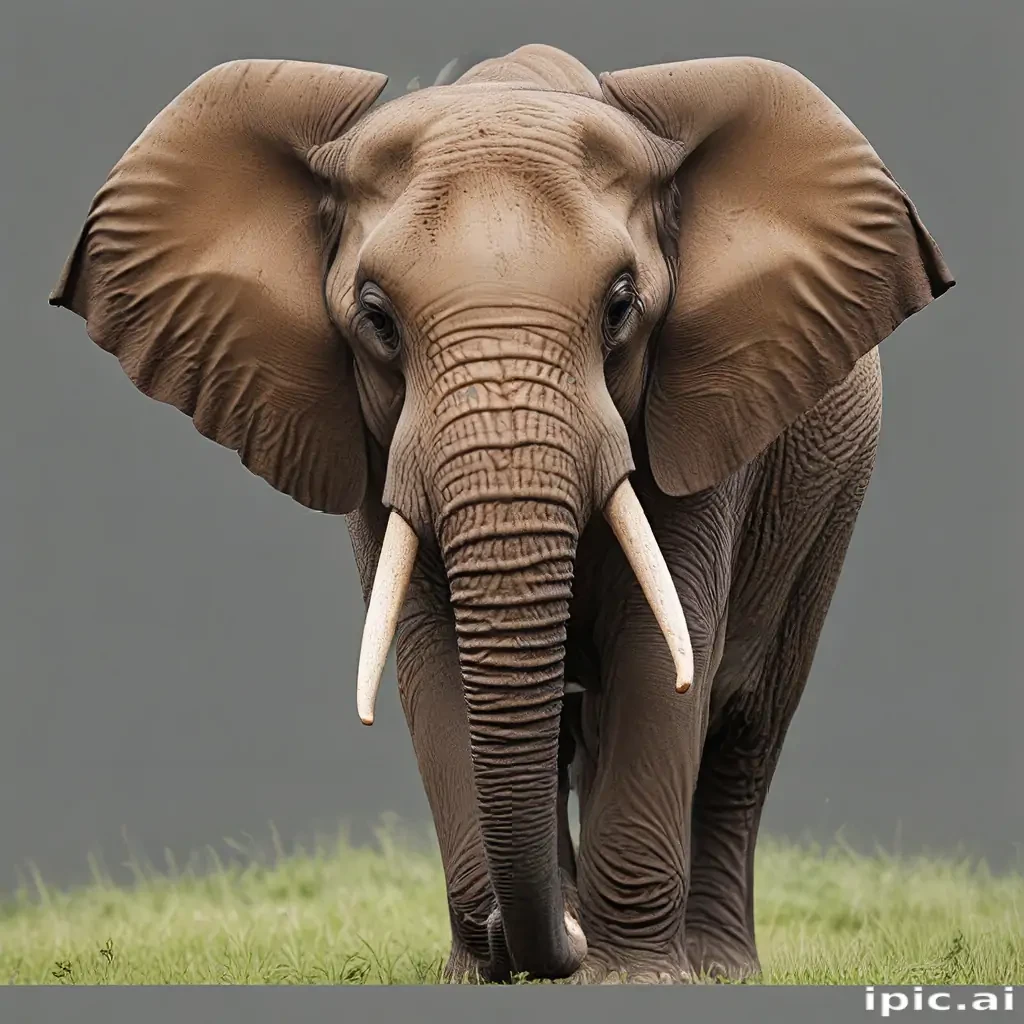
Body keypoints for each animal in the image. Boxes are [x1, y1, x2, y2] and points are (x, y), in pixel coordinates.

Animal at [48, 43, 954, 984]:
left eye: (622, 307)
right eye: (376, 318)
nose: (538, 939)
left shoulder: (704, 424)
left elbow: (659, 650)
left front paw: (629, 979)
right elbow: (430, 655)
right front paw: (487, 973)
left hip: (830, 498)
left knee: (747, 723)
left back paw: (717, 969)